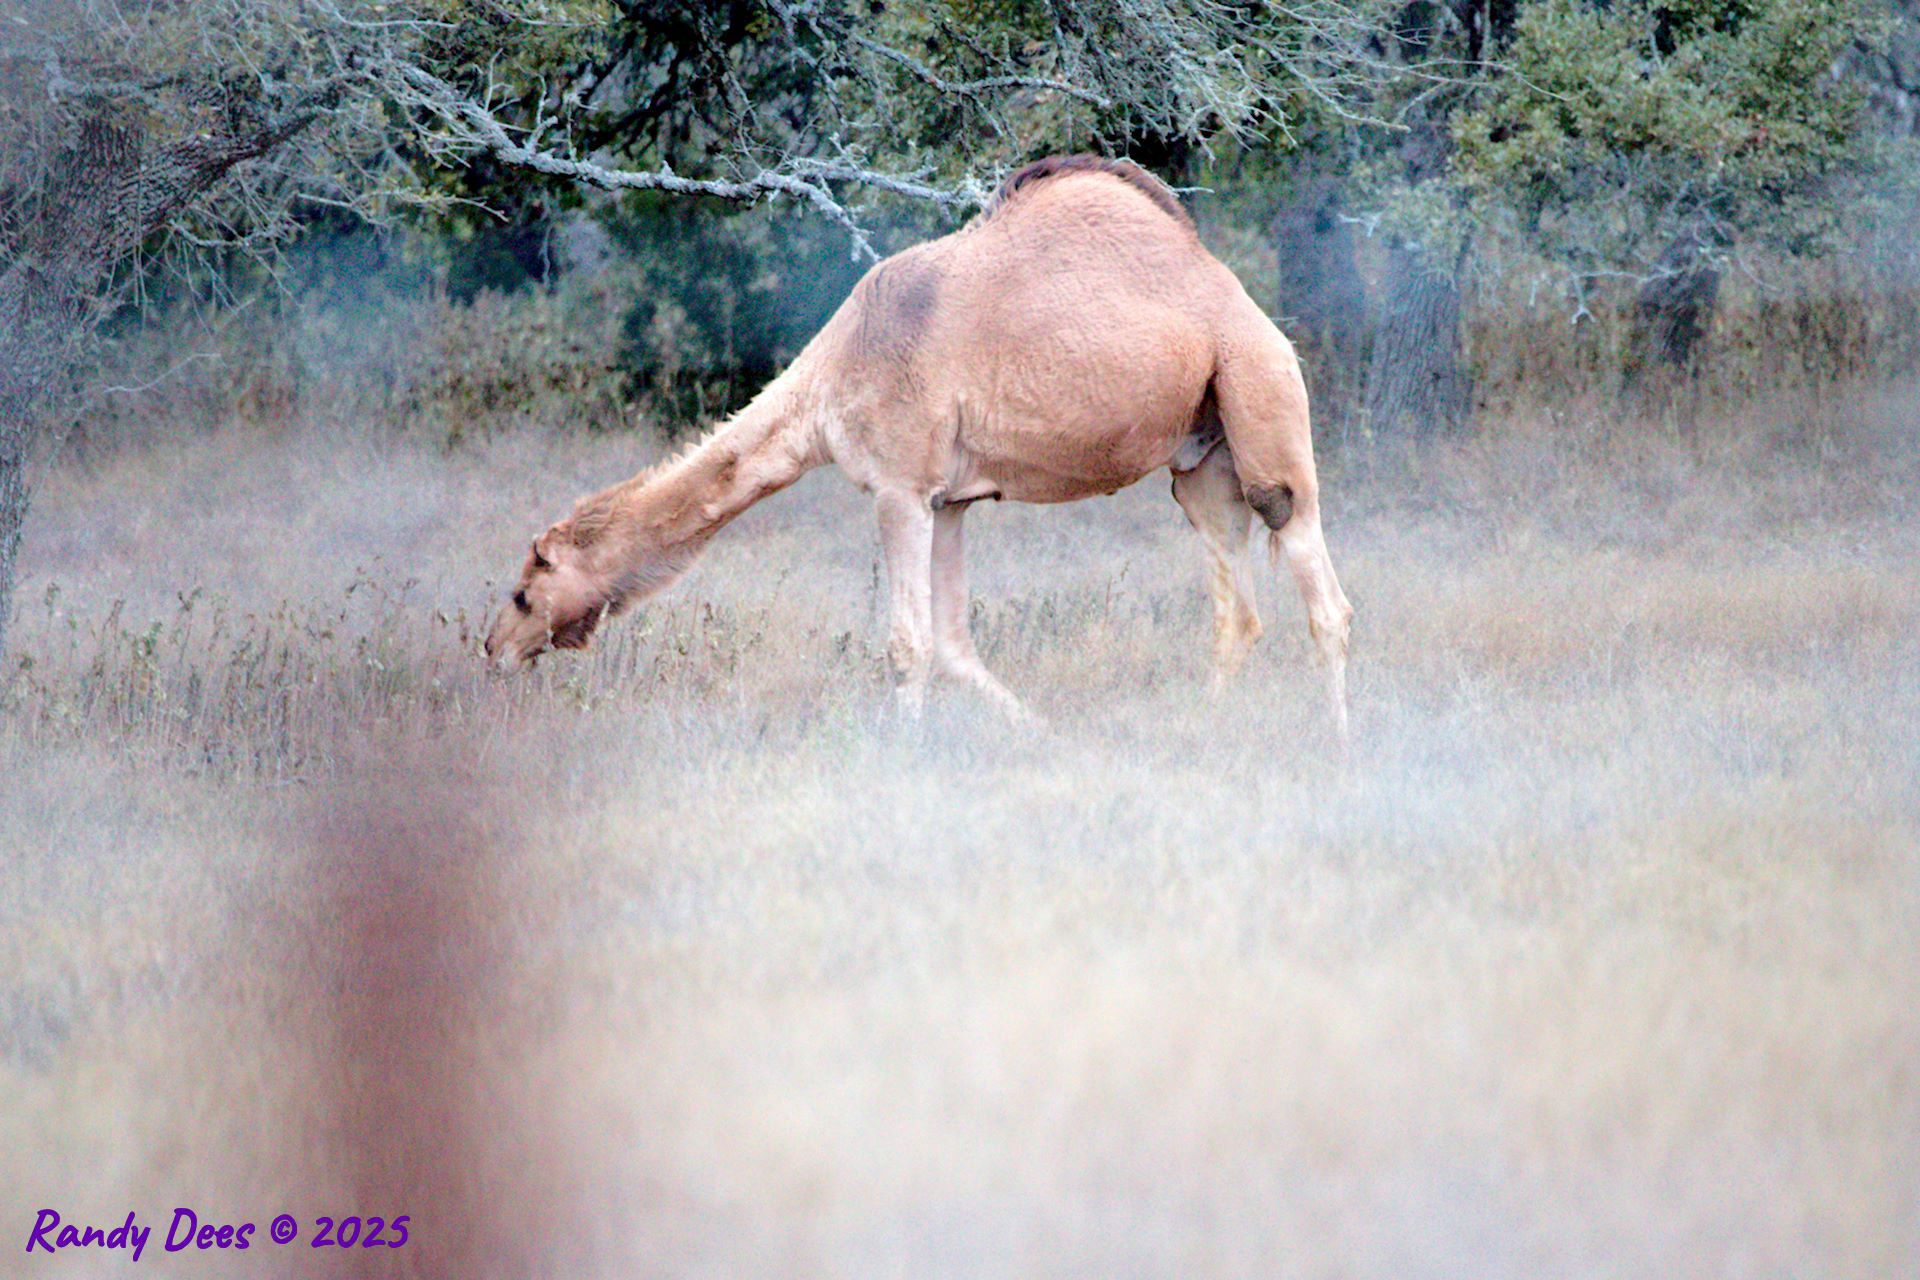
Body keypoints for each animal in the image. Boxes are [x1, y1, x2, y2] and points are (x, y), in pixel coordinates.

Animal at [487, 153, 1359, 736]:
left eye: (525, 591)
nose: (492, 648)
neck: (832, 378)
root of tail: (1241, 300)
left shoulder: (900, 489)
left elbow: (907, 643)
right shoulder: (950, 500)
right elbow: (951, 642)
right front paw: (1037, 732)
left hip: (1261, 397)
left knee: (1321, 586)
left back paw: (1339, 740)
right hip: (1201, 460)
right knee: (1238, 611)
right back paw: (1206, 725)